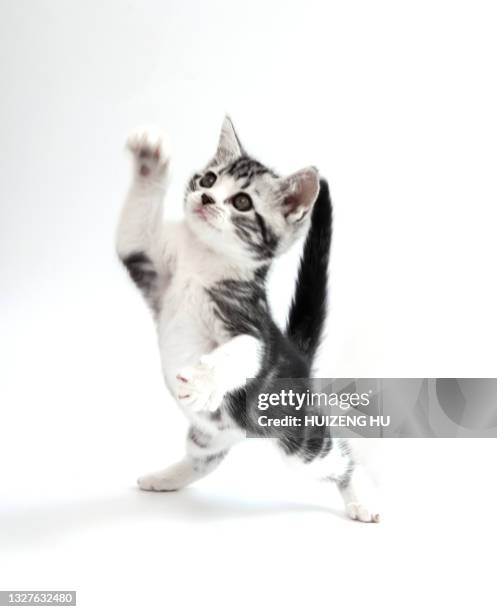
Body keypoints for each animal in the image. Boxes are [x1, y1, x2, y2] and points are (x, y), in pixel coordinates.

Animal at [116, 118, 380, 520]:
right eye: (208, 179)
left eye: (242, 202)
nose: (206, 198)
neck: (203, 260)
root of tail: (299, 358)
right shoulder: (149, 258)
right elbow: (132, 228)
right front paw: (149, 157)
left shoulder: (252, 328)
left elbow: (241, 352)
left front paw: (200, 379)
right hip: (209, 433)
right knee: (206, 458)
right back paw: (166, 478)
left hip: (299, 440)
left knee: (340, 459)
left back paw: (361, 499)